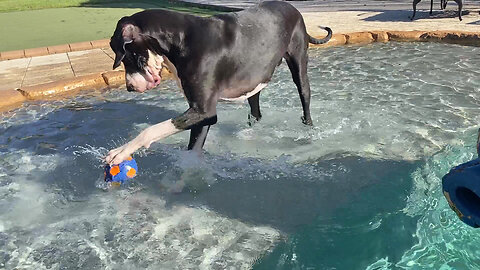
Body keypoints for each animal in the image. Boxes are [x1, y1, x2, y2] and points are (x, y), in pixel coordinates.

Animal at [106, 0, 330, 165]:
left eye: (127, 56)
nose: (130, 87)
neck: (182, 39)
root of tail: (293, 8)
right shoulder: (199, 113)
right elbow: (193, 149)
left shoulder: (204, 112)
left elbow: (150, 130)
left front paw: (121, 151)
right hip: (253, 83)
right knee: (256, 112)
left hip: (299, 69)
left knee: (305, 101)